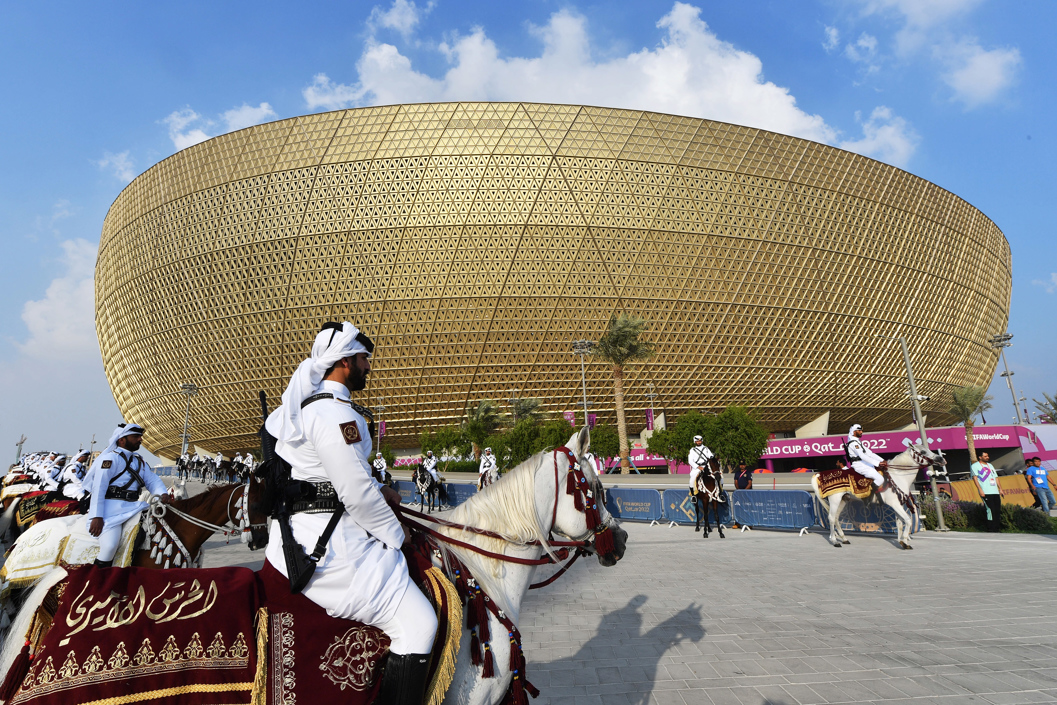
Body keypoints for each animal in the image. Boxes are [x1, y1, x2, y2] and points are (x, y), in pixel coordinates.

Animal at [811, 441, 947, 549]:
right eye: (923, 451)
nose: (941, 459)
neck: (897, 475)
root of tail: (820, 474)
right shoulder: (894, 504)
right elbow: (908, 520)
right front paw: (904, 542)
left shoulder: (898, 504)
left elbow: (900, 523)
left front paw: (902, 541)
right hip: (835, 500)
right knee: (831, 518)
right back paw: (835, 541)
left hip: (844, 499)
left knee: (836, 517)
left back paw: (844, 539)